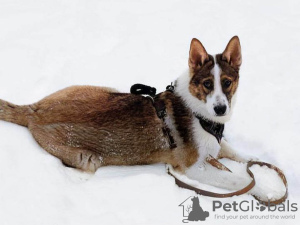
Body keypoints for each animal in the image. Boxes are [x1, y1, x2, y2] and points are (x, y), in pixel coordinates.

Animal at [0, 37, 255, 192]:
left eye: (227, 82)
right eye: (207, 84)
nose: (220, 109)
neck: (198, 112)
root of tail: (34, 110)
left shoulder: (215, 146)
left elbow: (238, 154)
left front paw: (255, 163)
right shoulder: (191, 167)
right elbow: (237, 180)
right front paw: (257, 187)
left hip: (108, 90)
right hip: (87, 157)